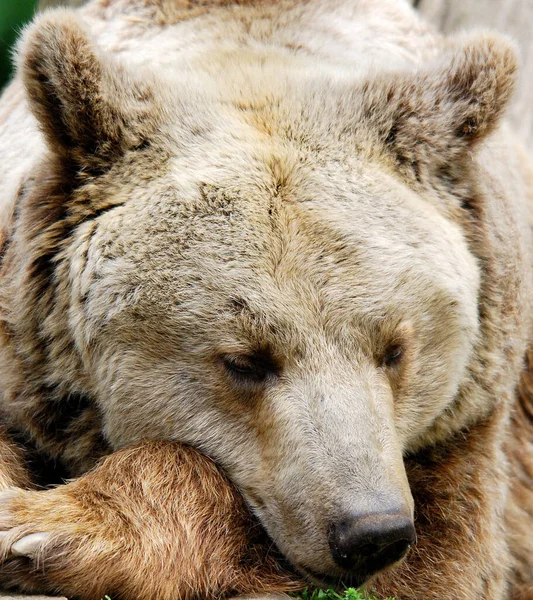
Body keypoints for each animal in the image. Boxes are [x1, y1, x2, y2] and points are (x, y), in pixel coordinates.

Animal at [0, 0, 532, 596]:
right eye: (246, 361)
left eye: (396, 350)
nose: (371, 532)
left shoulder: (472, 428)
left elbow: (436, 562)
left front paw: (45, 528)